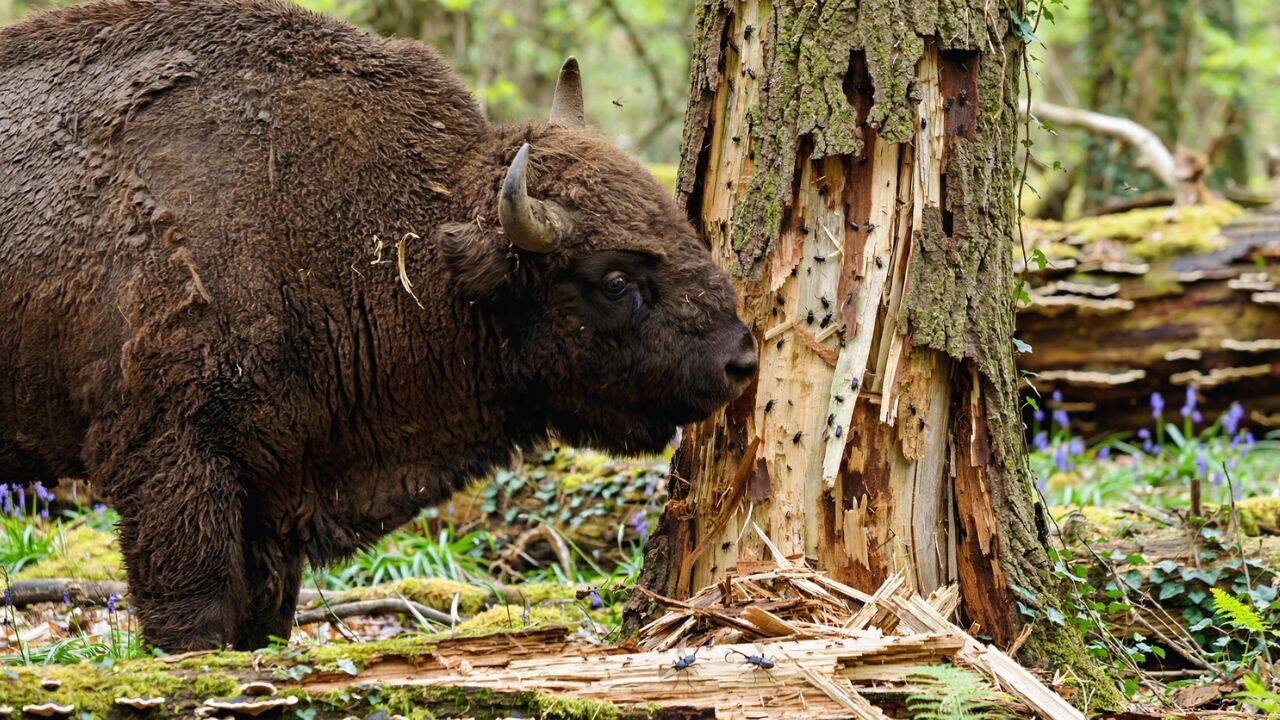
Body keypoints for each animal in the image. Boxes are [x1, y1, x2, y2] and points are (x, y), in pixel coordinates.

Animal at [0, 0, 756, 650]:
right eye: (616, 280)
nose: (740, 359)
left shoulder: (277, 480)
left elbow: (264, 617)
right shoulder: (172, 461)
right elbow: (195, 614)